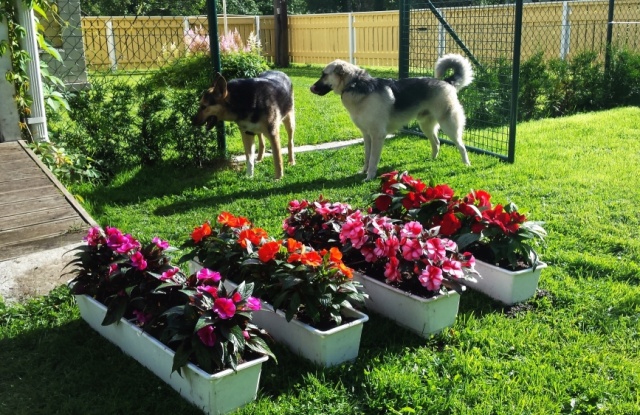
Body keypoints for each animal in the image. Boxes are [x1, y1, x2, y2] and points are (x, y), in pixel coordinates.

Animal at [310, 54, 473, 180]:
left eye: (324, 74)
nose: (311, 88)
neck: (354, 84)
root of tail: (446, 82)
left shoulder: (377, 136)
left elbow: (373, 159)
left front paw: (369, 177)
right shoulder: (367, 136)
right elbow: (367, 157)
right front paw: (363, 171)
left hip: (449, 126)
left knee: (461, 146)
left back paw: (466, 164)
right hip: (426, 126)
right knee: (437, 142)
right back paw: (432, 160)